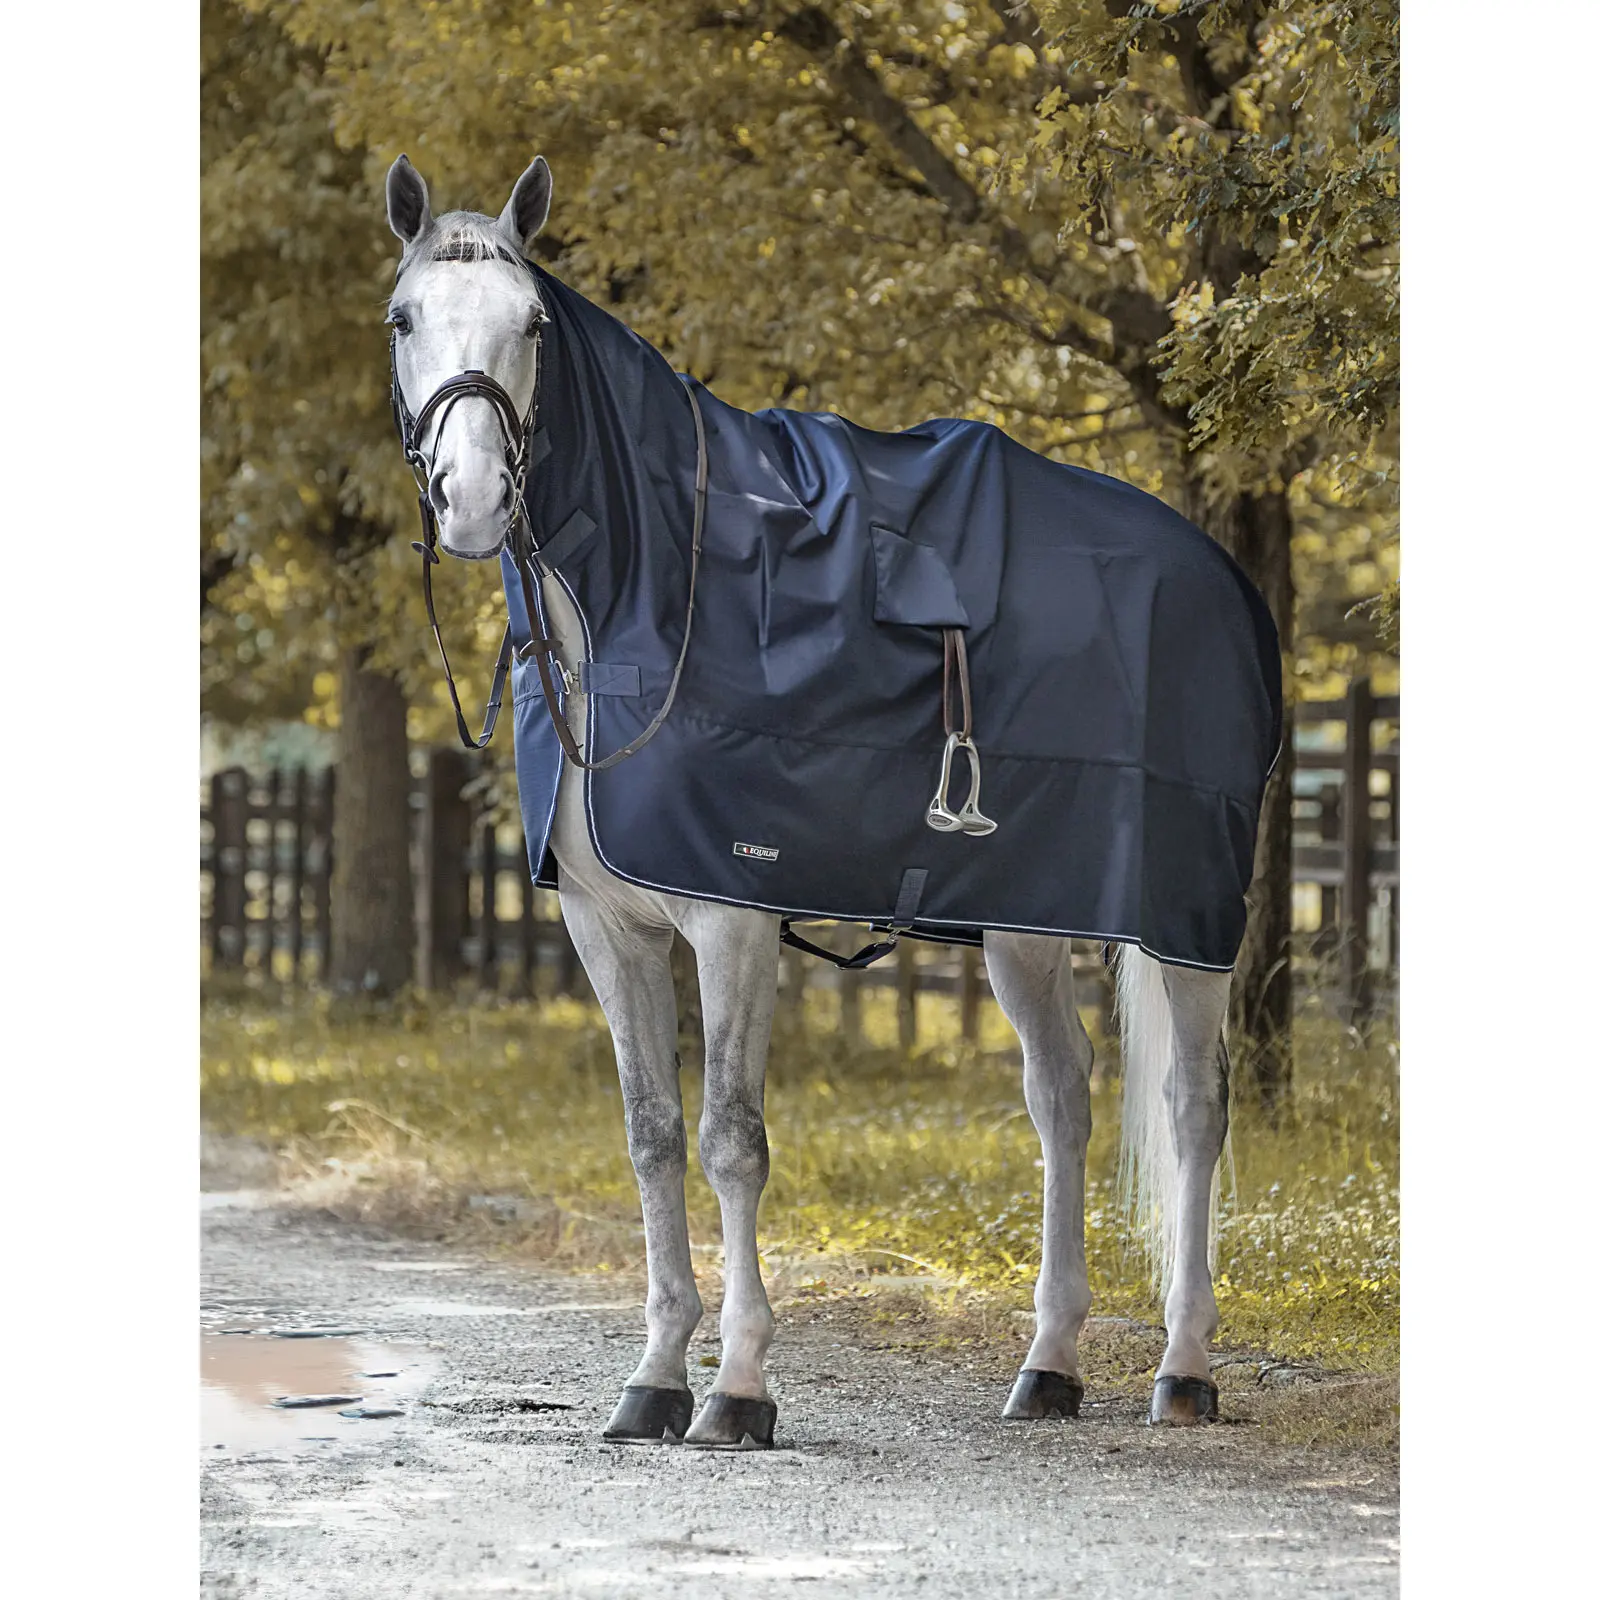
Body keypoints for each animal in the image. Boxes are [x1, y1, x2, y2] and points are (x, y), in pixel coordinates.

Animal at [381, 153, 1281, 1446]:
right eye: (404, 319)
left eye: (533, 325)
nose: (469, 497)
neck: (643, 597)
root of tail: (1218, 577)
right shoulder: (607, 930)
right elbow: (651, 1137)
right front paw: (654, 1376)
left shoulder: (732, 917)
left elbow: (730, 1141)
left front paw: (738, 1388)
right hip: (1024, 924)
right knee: (1061, 1100)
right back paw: (1048, 1364)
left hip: (1185, 916)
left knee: (1192, 1107)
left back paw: (1185, 1367)